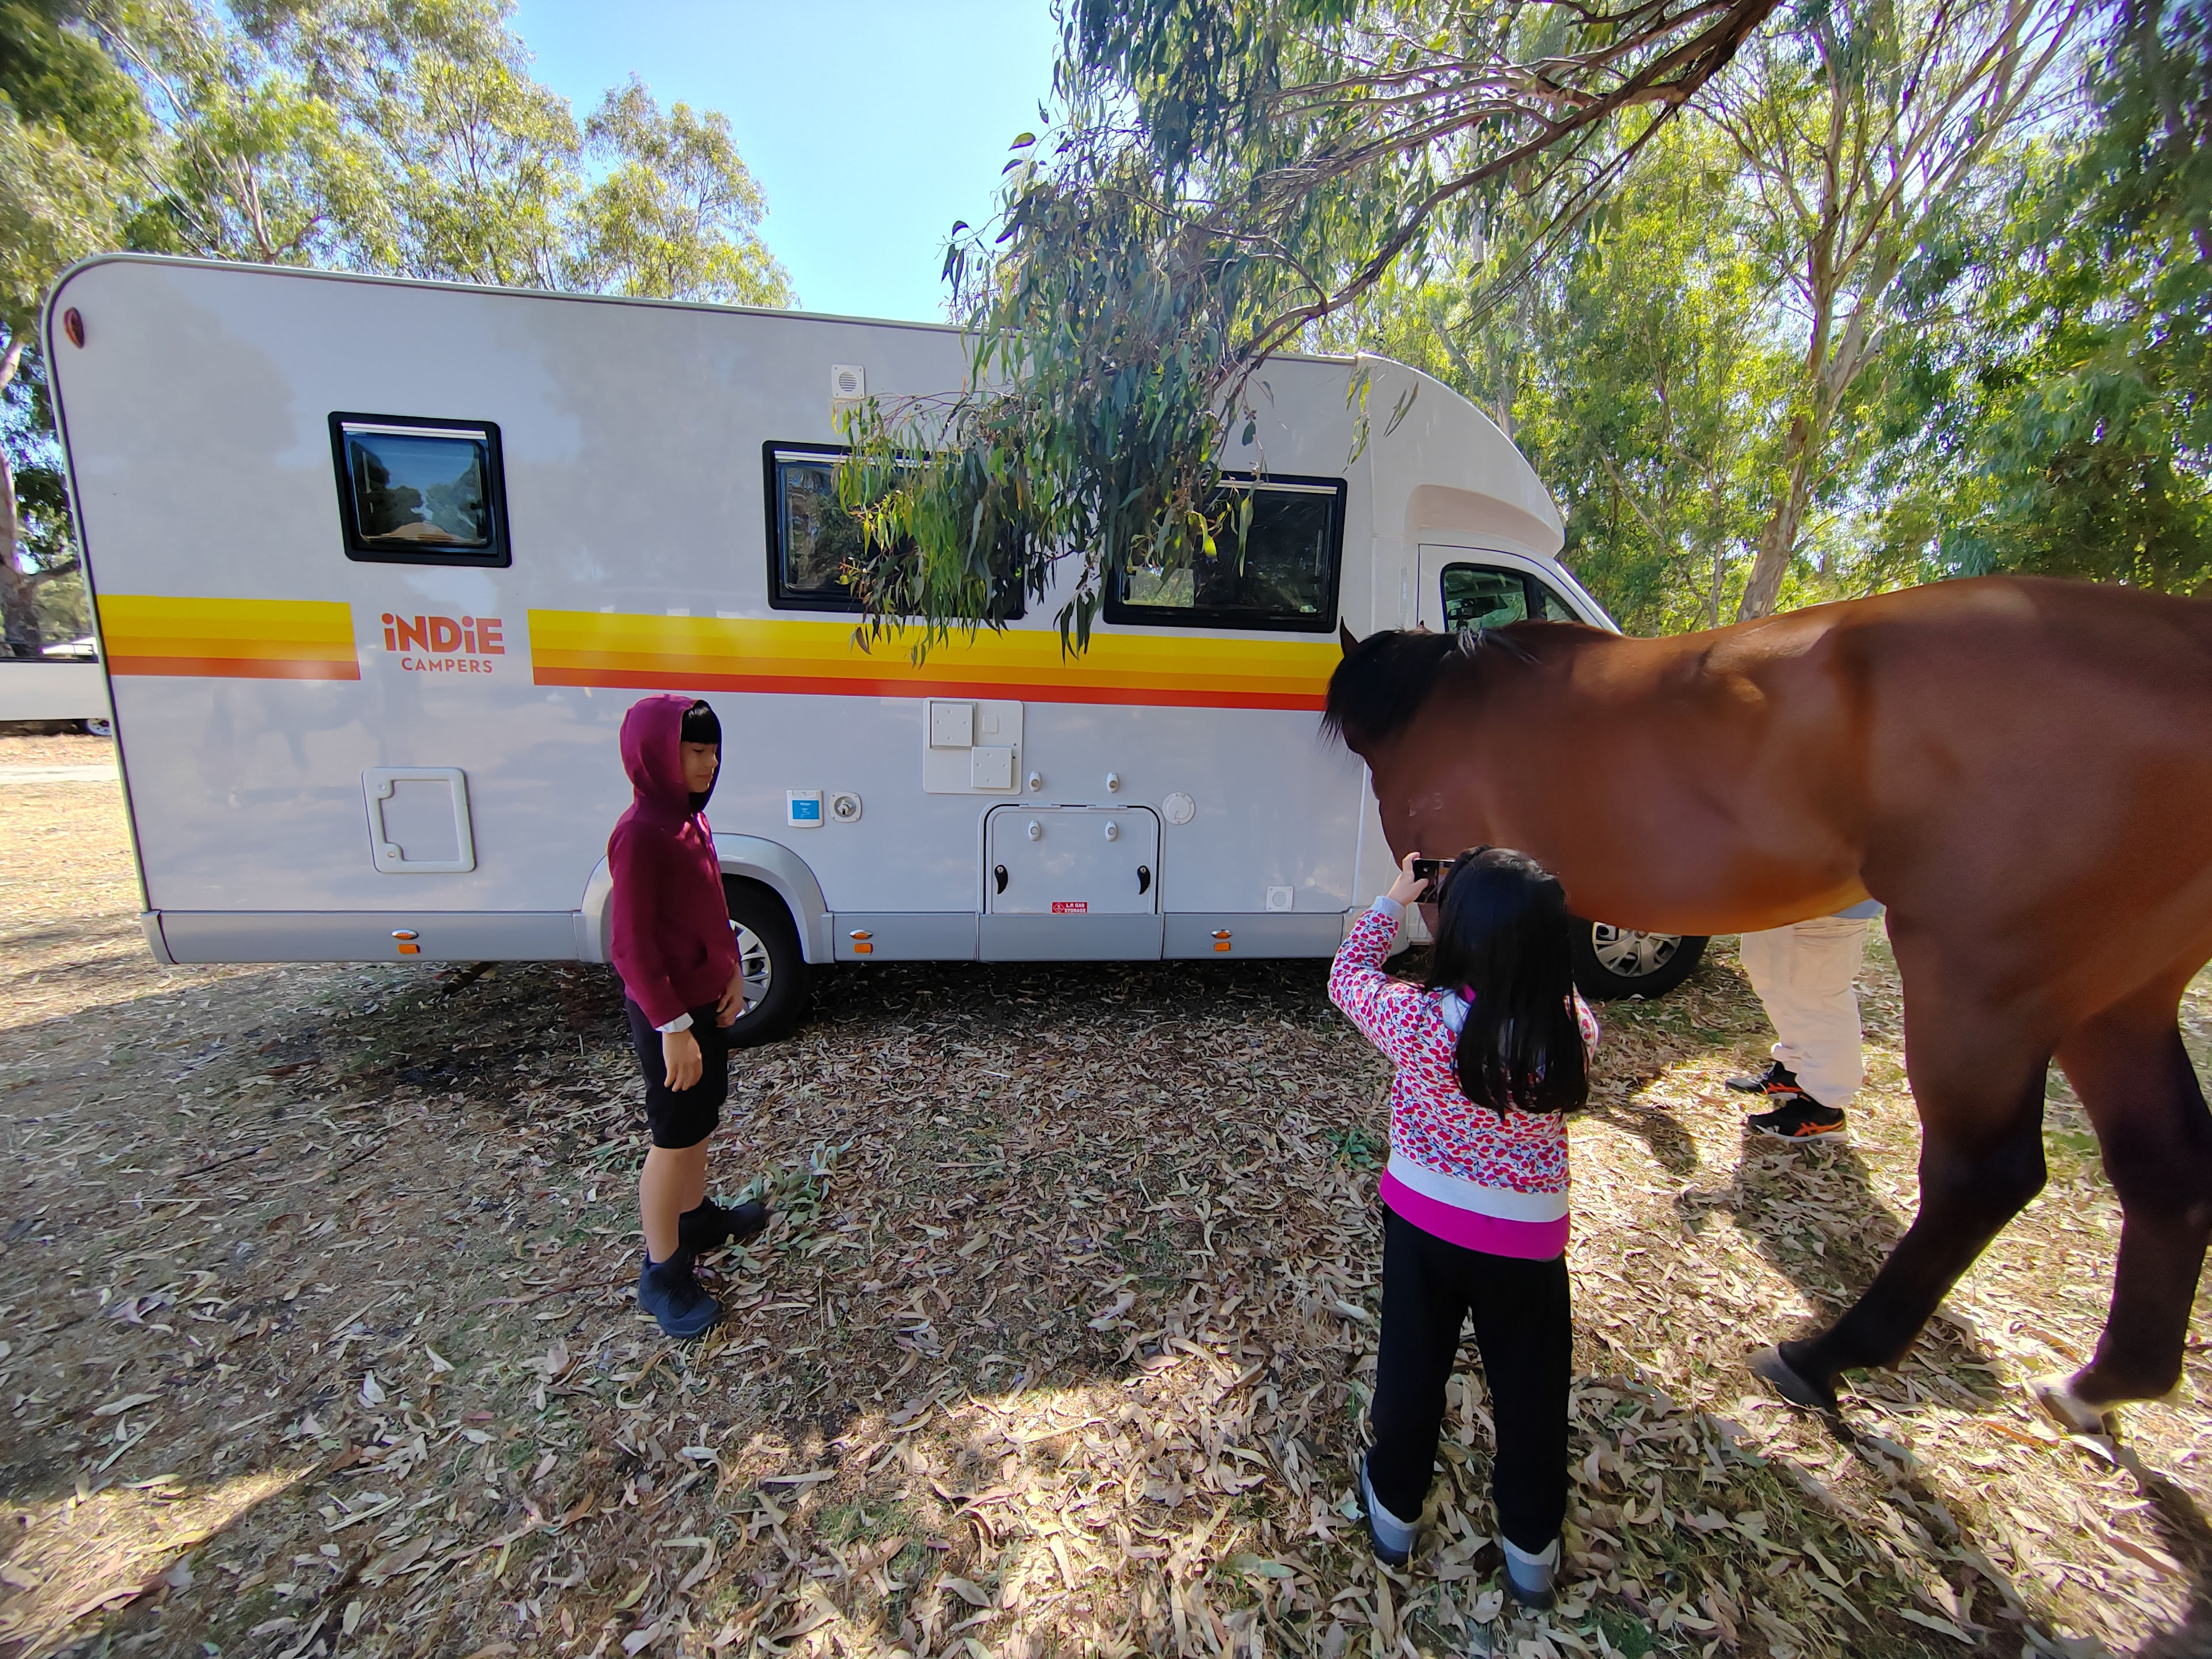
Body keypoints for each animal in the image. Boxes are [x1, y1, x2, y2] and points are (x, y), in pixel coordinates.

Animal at [1323, 574, 2212, 1427]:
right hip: (2116, 1002)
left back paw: (1823, 1357)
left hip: (1982, 987)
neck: (1443, 700)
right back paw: (2103, 1384)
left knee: (1984, 1177)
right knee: (2167, 1172)